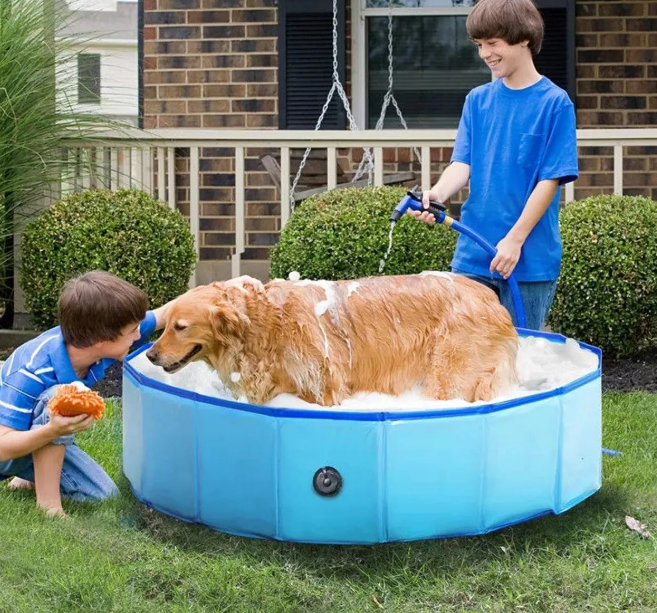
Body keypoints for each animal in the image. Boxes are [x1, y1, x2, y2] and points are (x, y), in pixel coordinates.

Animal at [145, 274, 516, 406]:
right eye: (166, 324)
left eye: (180, 326)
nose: (149, 355)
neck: (265, 325)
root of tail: (492, 299)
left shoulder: (324, 388)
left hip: (449, 374)